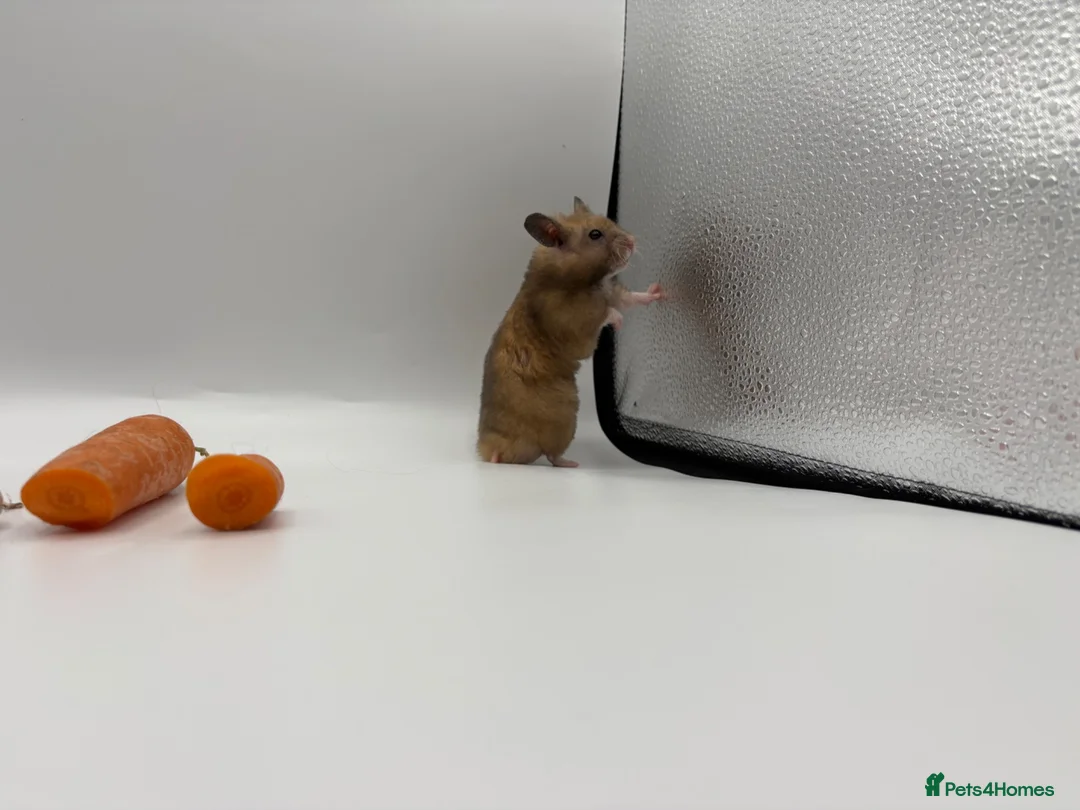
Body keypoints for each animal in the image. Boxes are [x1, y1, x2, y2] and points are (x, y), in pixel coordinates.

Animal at [477, 196, 666, 467]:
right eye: (595, 234)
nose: (632, 241)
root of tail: (498, 453)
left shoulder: (612, 292)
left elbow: (630, 299)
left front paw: (658, 291)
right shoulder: (572, 318)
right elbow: (605, 313)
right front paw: (618, 322)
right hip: (564, 419)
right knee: (552, 455)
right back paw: (573, 464)